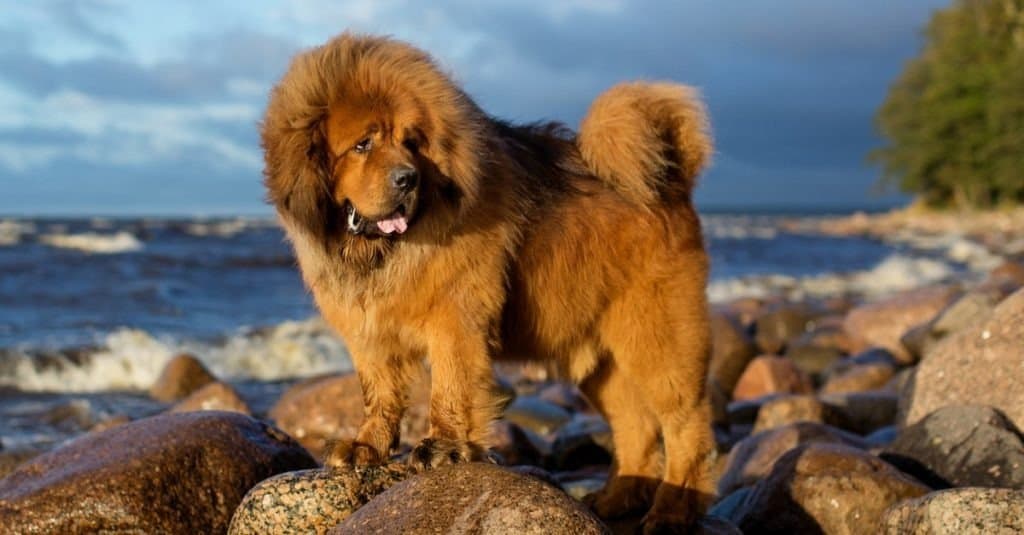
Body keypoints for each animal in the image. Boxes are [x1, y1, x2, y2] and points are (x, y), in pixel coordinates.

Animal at [260, 33, 716, 528]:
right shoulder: (371, 333)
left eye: (411, 142)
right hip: (600, 359)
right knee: (636, 426)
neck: (382, 253)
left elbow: (451, 388)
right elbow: (378, 393)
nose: (408, 178)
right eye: (362, 145)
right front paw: (366, 446)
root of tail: (670, 180)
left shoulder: (455, 319)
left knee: (686, 424)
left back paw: (673, 508)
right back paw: (617, 499)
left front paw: (443, 448)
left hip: (655, 340)